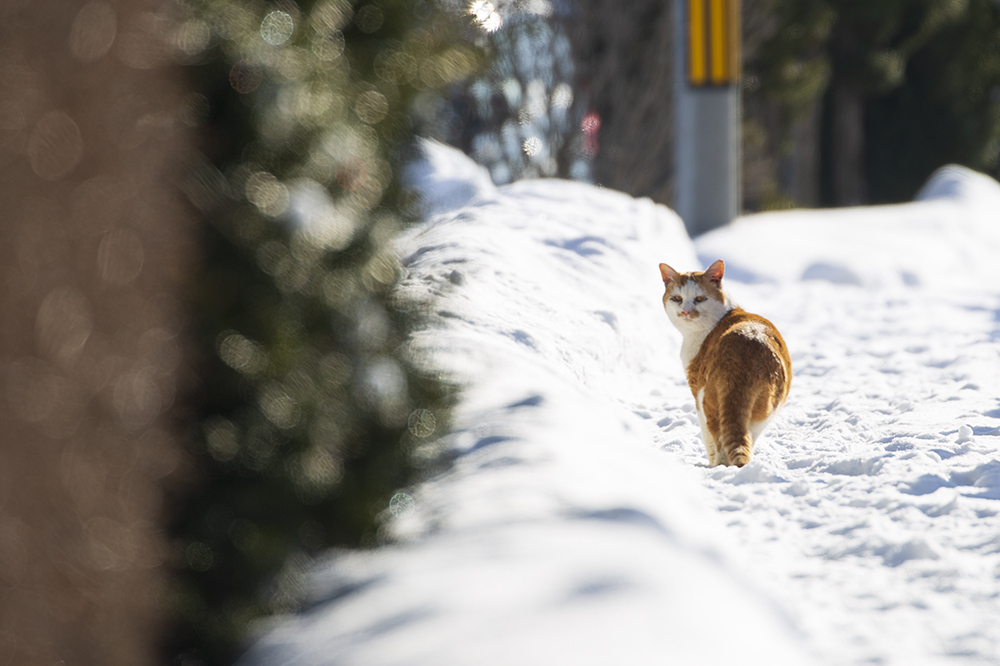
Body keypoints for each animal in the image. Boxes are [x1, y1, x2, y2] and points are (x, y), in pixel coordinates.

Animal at [660, 260, 792, 466]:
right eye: (676, 298)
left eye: (699, 298)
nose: (686, 311)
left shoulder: (696, 388)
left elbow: (709, 442)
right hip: (768, 409)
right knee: (747, 438)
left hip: (707, 400)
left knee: (718, 440)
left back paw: (718, 467)